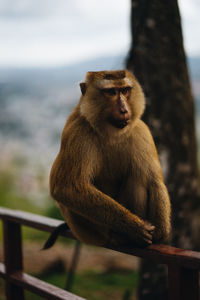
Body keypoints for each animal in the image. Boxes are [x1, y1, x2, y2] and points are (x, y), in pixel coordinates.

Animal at [49, 70, 171, 248]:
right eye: (111, 92)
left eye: (125, 90)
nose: (124, 109)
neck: (110, 132)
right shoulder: (78, 133)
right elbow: (68, 187)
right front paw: (135, 228)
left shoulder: (141, 131)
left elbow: (153, 180)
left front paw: (161, 231)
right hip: (94, 233)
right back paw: (123, 235)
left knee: (139, 178)